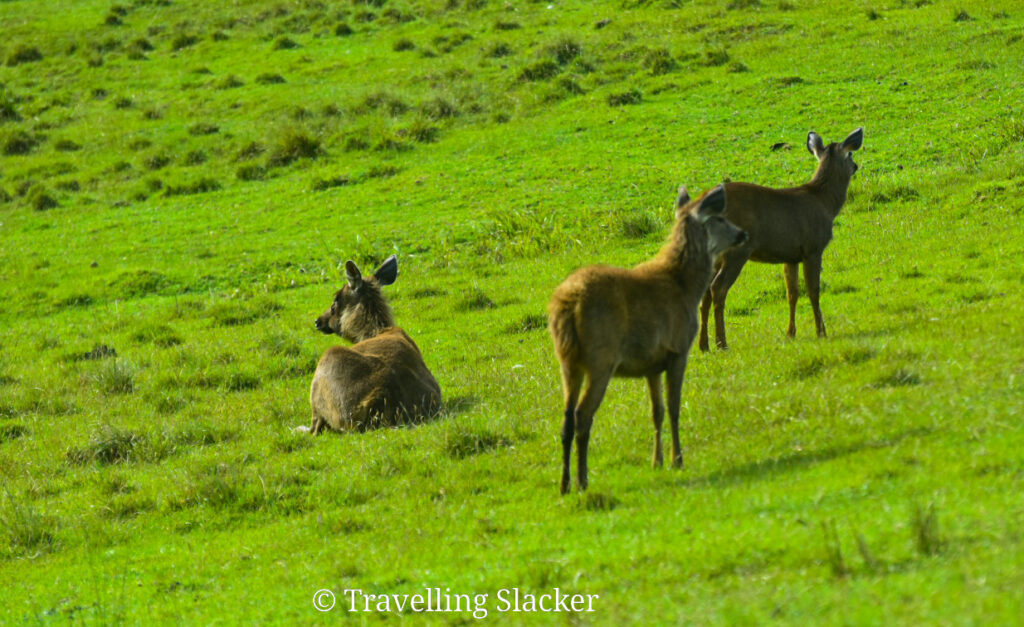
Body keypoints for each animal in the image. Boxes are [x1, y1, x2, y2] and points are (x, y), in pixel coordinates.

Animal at [299, 252, 440, 434]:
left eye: (336, 299)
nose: (318, 321)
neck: (370, 332)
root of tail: (382, 397)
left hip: (324, 371)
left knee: (315, 427)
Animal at [548, 186, 749, 493]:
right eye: (720, 218)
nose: (742, 233)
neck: (685, 287)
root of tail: (568, 305)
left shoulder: (652, 363)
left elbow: (657, 411)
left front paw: (657, 461)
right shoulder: (679, 349)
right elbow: (675, 408)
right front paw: (678, 460)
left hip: (568, 362)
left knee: (566, 419)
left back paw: (565, 485)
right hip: (600, 357)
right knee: (583, 415)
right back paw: (583, 480)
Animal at [696, 126, 864, 352]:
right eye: (850, 154)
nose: (855, 166)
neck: (825, 203)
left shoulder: (790, 255)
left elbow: (792, 294)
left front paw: (790, 333)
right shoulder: (813, 248)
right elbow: (813, 291)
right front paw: (821, 332)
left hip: (715, 254)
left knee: (705, 293)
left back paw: (704, 345)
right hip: (737, 250)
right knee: (718, 288)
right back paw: (722, 343)